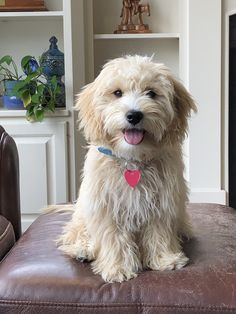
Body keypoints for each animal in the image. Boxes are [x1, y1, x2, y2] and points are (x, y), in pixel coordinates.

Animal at [57, 55, 197, 284]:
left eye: (151, 93)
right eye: (117, 93)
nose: (134, 115)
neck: (133, 160)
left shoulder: (163, 203)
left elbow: (160, 231)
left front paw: (164, 259)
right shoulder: (106, 205)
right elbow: (113, 238)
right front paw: (118, 268)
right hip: (83, 212)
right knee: (75, 232)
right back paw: (84, 249)